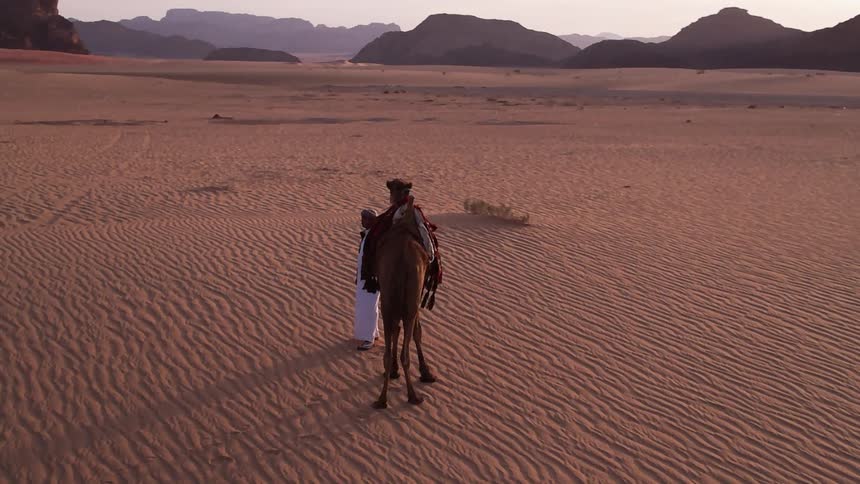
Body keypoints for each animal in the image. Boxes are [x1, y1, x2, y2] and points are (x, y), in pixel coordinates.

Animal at [372, 196, 437, 409]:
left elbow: (395, 331)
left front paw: (393, 371)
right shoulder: (415, 299)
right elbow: (418, 332)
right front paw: (426, 372)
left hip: (389, 300)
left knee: (390, 344)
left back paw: (382, 399)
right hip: (410, 300)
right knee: (406, 348)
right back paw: (413, 396)